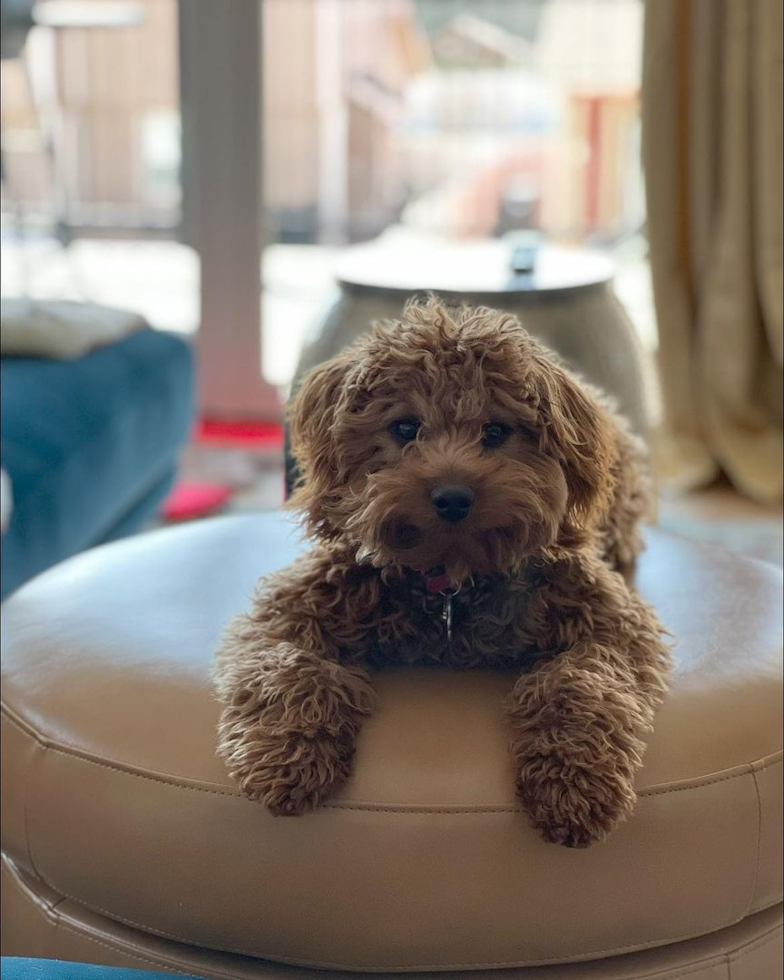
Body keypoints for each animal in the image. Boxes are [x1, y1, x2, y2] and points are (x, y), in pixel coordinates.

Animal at [213, 300, 668, 848]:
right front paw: (286, 754)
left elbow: (583, 681)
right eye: (405, 428)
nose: (452, 497)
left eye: (496, 431)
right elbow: (288, 667)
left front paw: (574, 781)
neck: (451, 583)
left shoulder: (612, 621)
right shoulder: (290, 608)